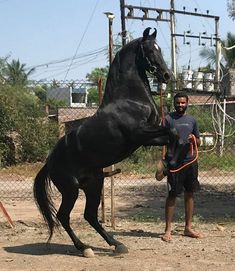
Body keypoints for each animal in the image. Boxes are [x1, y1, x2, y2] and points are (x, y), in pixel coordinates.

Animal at [33, 28, 184, 260]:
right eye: (150, 50)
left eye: (160, 48)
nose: (167, 76)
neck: (130, 99)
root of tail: (49, 163)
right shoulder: (140, 134)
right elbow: (172, 132)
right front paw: (168, 165)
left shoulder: (148, 136)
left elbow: (173, 136)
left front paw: (167, 165)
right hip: (71, 189)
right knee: (63, 216)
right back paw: (84, 248)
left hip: (94, 185)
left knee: (90, 215)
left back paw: (116, 244)